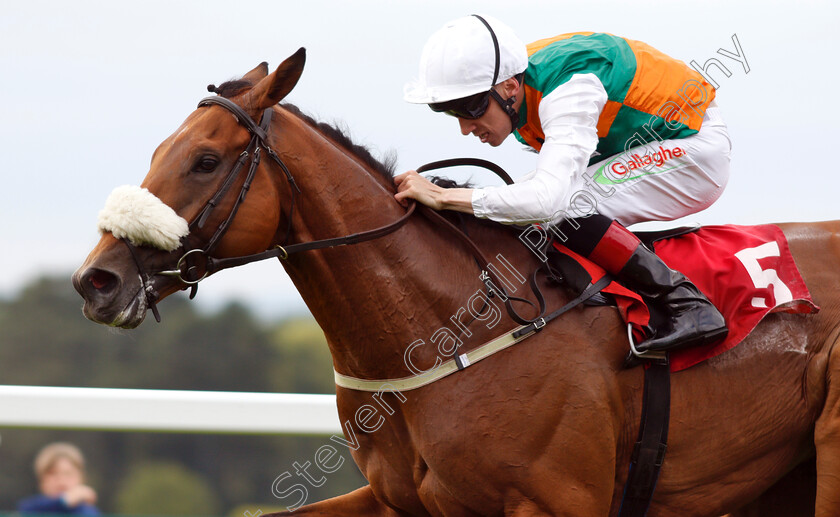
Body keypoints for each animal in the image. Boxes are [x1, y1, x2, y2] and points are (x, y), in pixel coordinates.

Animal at [75, 49, 836, 516]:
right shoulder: (396, 498)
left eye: (205, 160)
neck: (446, 326)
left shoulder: (559, 499)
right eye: (158, 152)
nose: (96, 280)